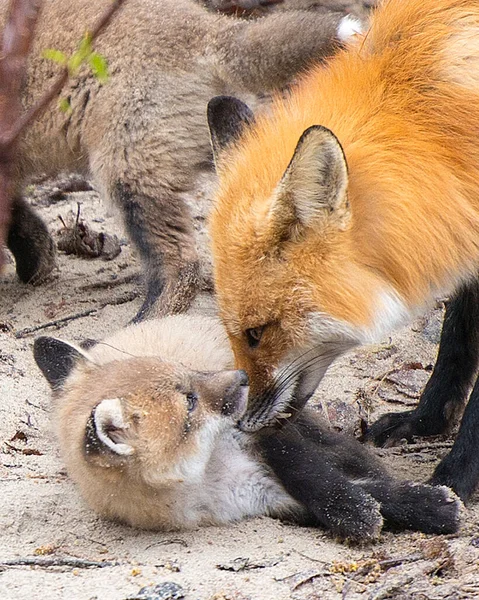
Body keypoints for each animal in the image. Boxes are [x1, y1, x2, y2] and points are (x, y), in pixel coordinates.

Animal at [33, 314, 462, 540]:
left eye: (187, 374)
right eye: (189, 401)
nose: (240, 378)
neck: (210, 470)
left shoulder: (258, 435)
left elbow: (316, 477)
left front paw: (403, 505)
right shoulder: (262, 498)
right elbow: (345, 496)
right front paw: (406, 508)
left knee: (338, 450)